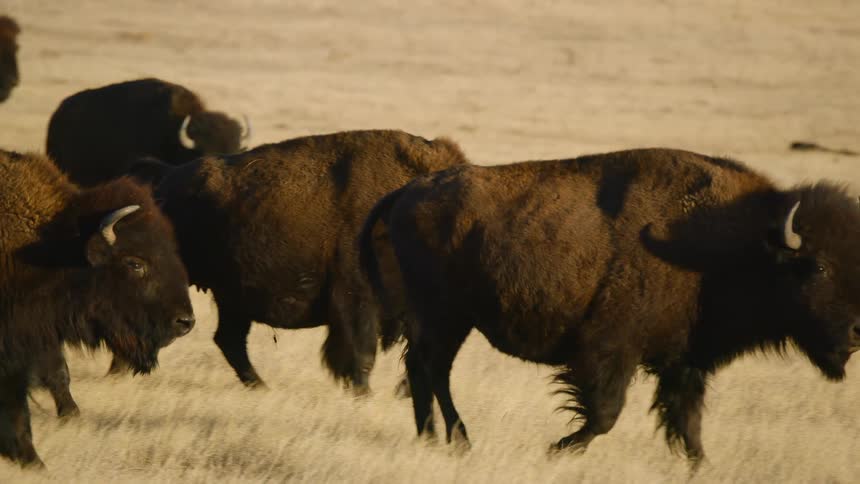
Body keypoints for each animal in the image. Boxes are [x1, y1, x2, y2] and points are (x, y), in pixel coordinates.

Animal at [359, 148, 860, 469]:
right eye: (816, 266)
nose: (856, 332)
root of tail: (409, 191)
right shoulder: (610, 350)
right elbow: (605, 413)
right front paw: (556, 450)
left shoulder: (684, 361)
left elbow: (687, 421)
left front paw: (702, 465)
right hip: (446, 316)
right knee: (431, 369)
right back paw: (459, 441)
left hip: (447, 320)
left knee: (423, 369)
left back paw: (433, 439)